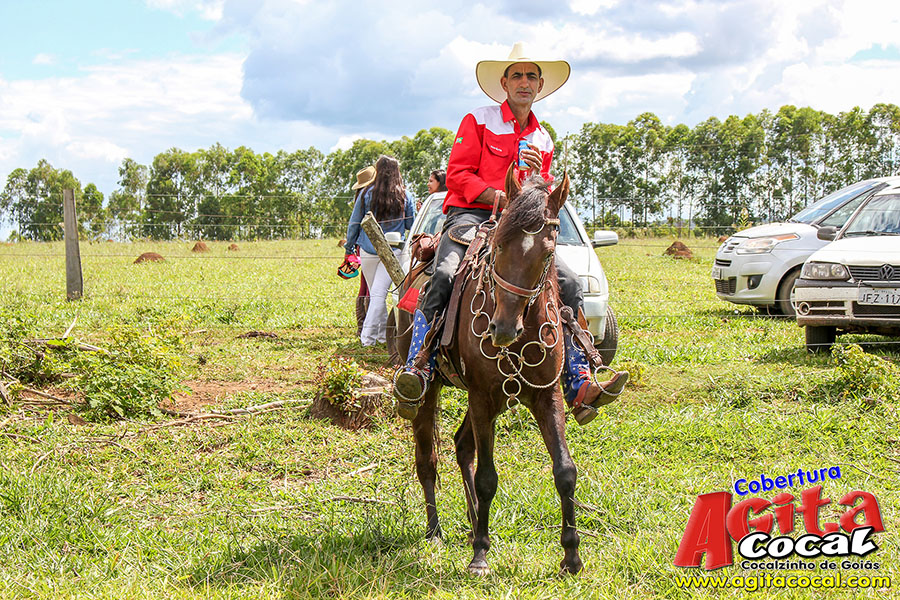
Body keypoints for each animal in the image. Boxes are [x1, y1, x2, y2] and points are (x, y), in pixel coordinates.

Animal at [397, 166, 583, 576]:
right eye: (498, 246)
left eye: (548, 253)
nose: (502, 329)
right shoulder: (482, 397)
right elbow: (487, 477)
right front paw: (480, 555)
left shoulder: (546, 396)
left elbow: (565, 470)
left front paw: (572, 556)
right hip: (434, 394)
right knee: (427, 459)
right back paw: (436, 531)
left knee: (462, 446)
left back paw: (471, 522)